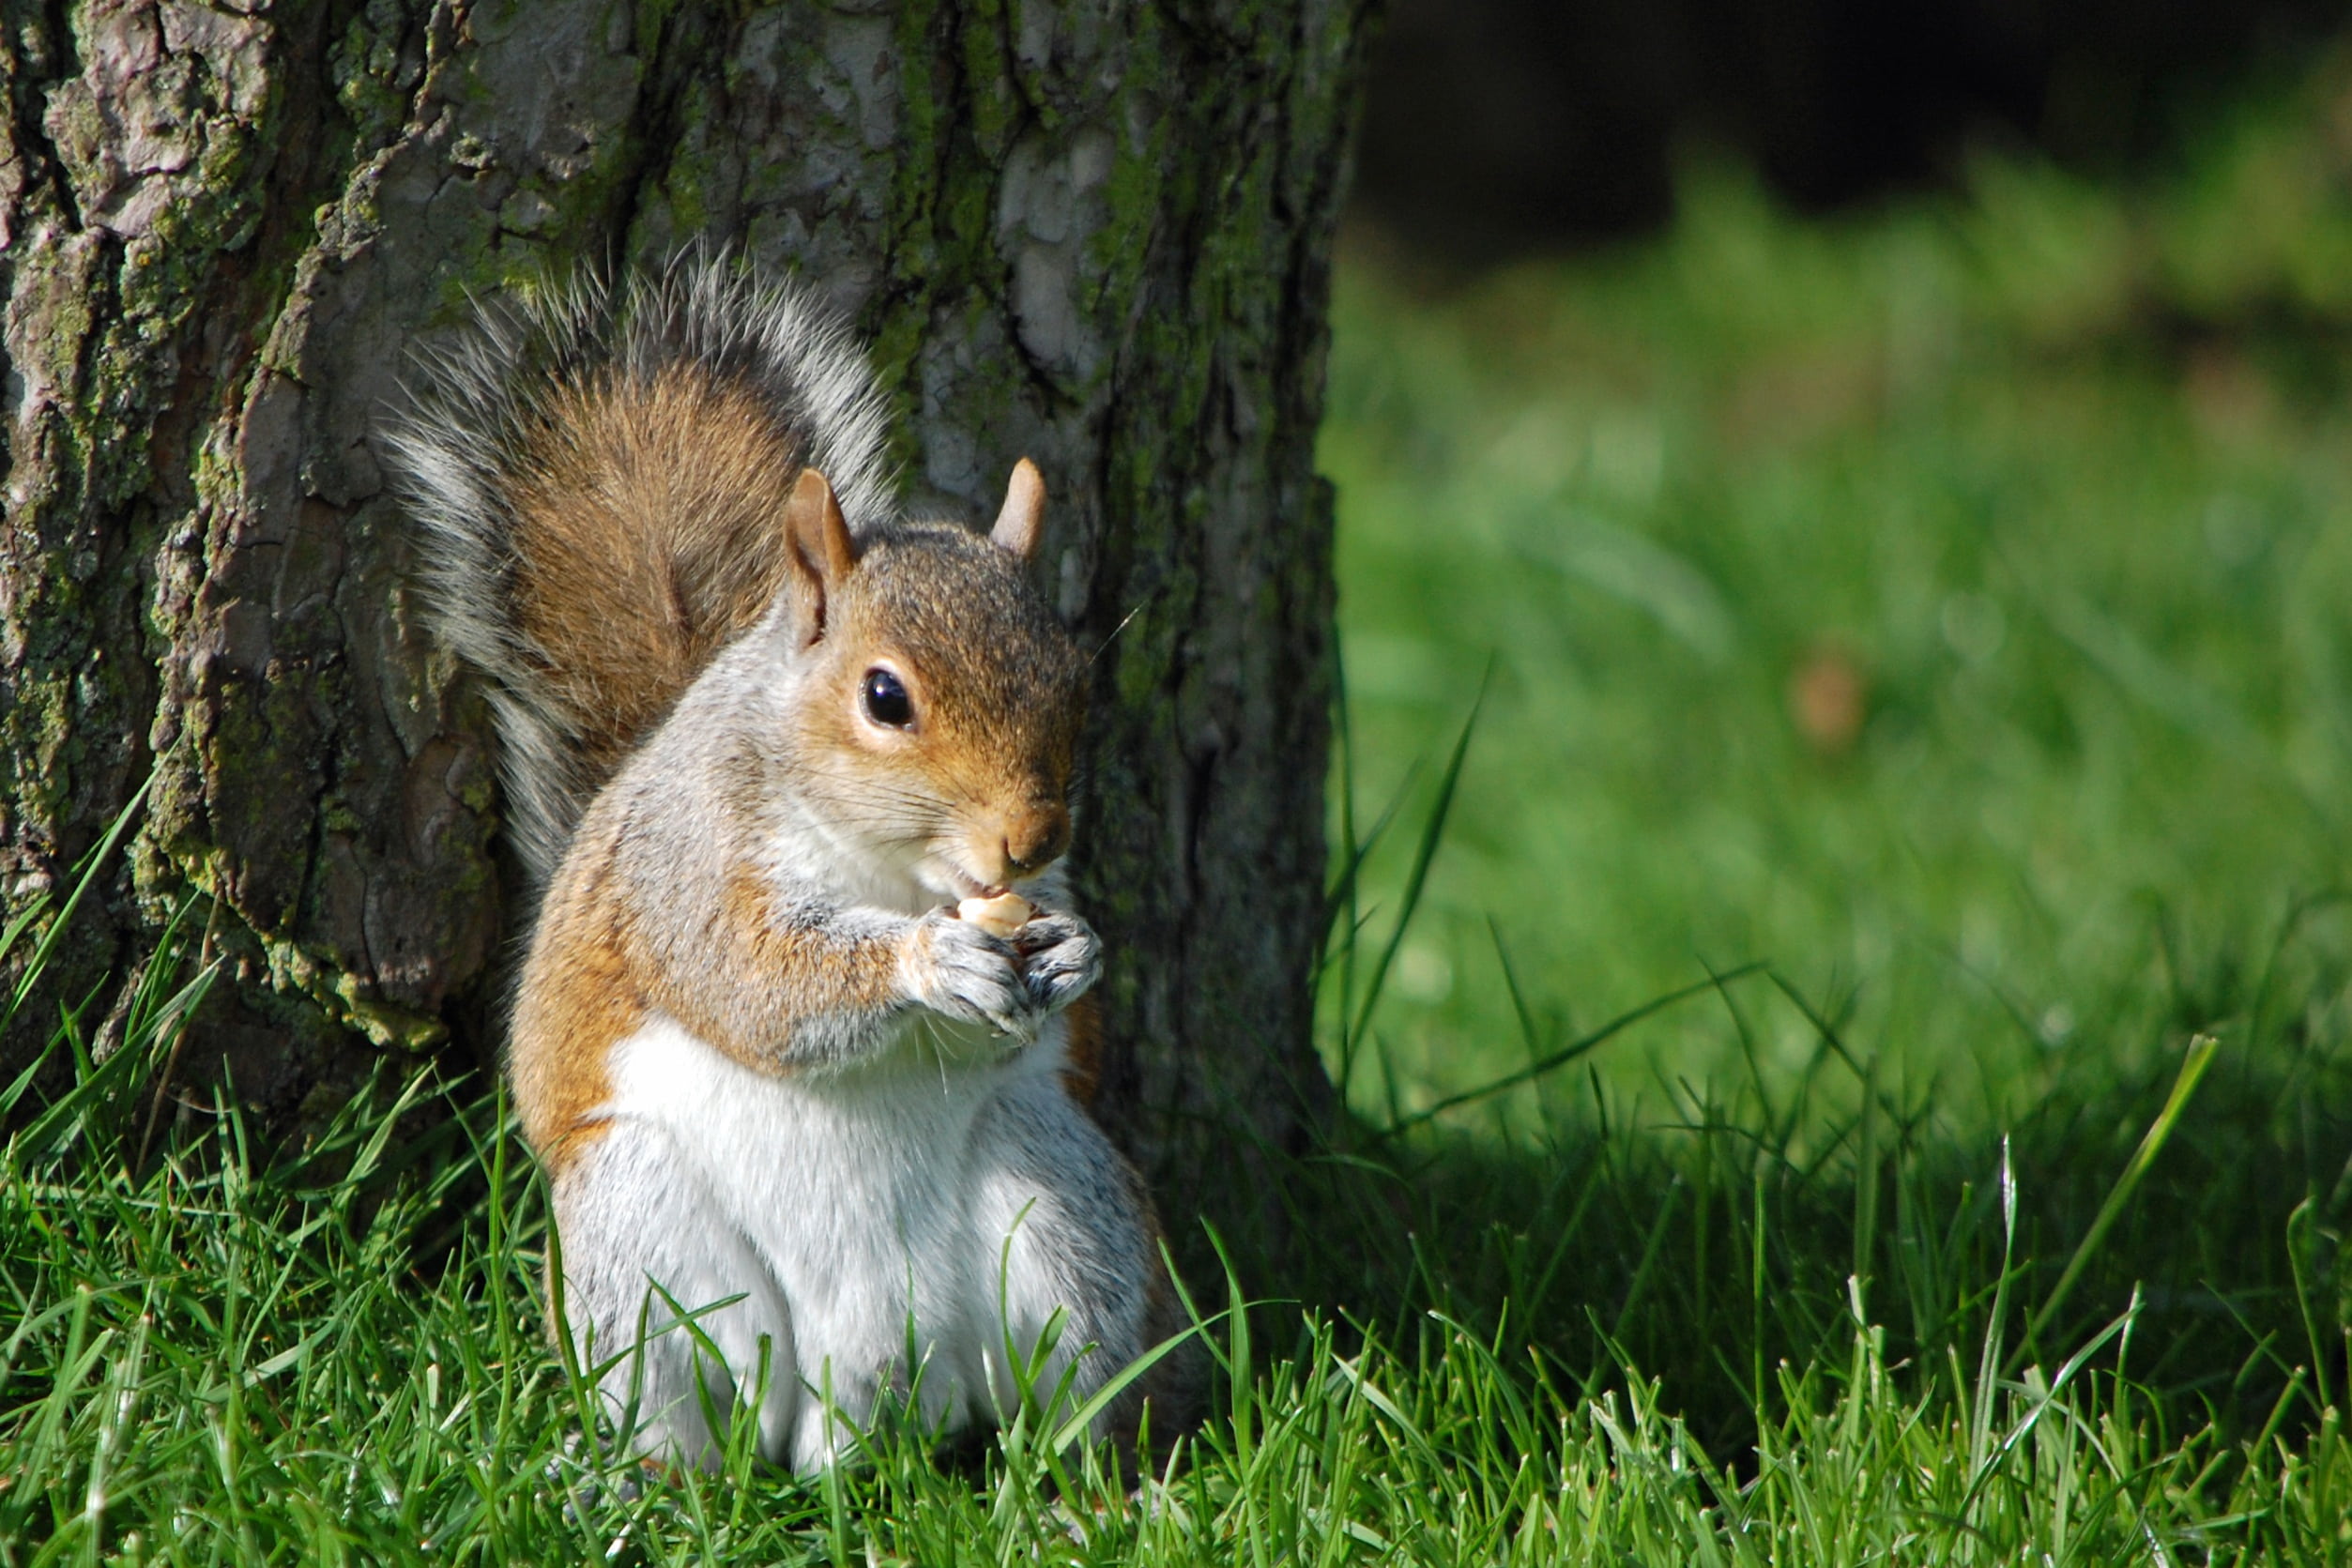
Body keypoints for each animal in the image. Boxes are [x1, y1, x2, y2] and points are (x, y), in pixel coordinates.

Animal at [387, 256, 1189, 1471]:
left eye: (1073, 677)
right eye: (884, 697)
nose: (1034, 837)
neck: (893, 868)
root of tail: (866, 1391)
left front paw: (1074, 953)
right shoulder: (686, 864)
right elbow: (752, 980)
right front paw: (925, 963)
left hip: (1061, 1196)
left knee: (1068, 1393)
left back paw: (1093, 1483)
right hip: (640, 1230)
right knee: (673, 1409)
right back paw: (635, 1484)